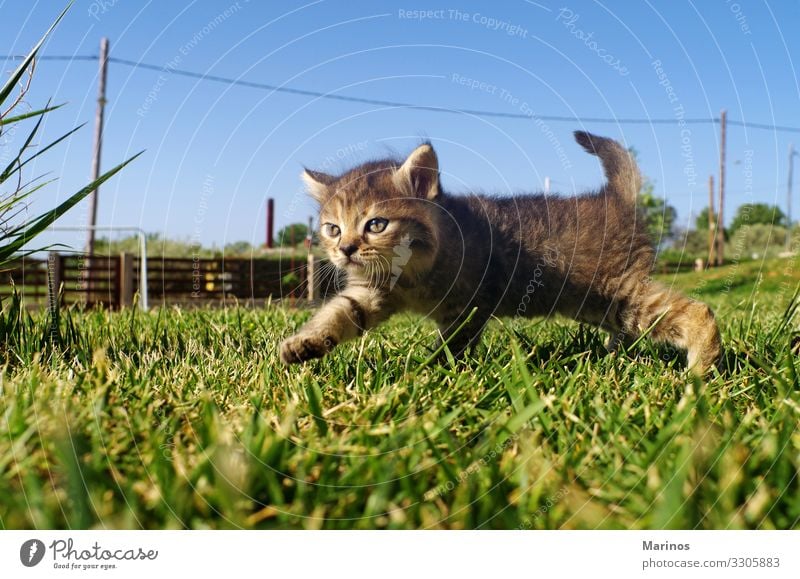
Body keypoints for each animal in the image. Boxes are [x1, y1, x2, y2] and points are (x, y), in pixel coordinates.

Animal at [282, 133, 724, 376]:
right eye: (332, 228)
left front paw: (430, 371)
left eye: (375, 224)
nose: (345, 249)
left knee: (697, 311)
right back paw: (617, 359)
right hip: (600, 303)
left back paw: (700, 374)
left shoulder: (469, 307)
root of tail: (615, 199)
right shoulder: (370, 293)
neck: (409, 274)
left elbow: (452, 344)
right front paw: (304, 343)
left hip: (622, 293)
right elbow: (339, 313)